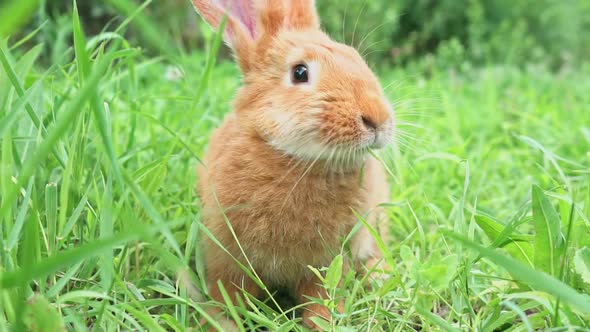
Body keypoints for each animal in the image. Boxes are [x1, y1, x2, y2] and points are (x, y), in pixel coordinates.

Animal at [193, 0, 398, 328]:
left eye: (355, 58)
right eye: (300, 72)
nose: (378, 118)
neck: (296, 162)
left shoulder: (326, 263)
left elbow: (322, 297)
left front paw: (325, 323)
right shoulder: (227, 257)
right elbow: (227, 294)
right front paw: (214, 322)